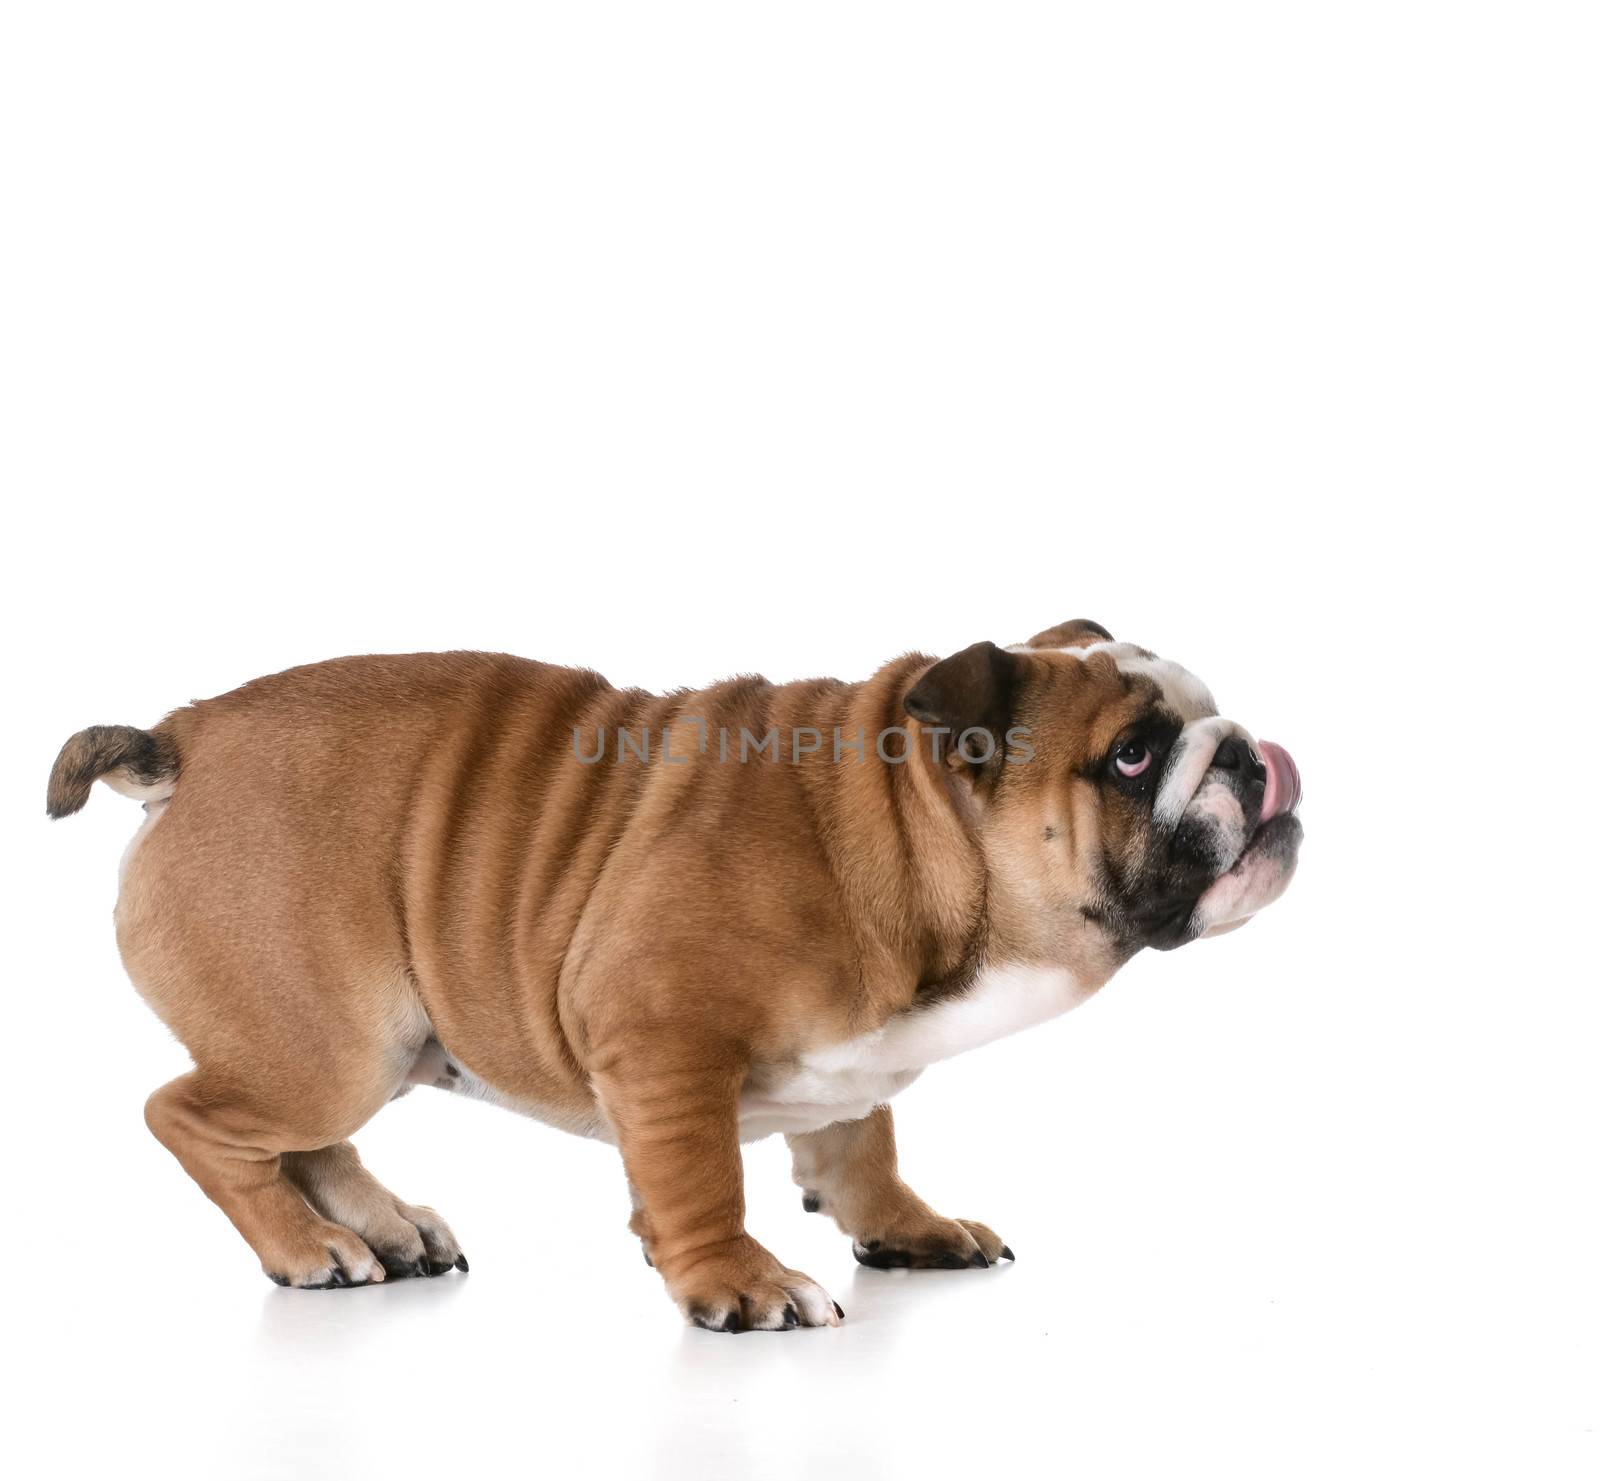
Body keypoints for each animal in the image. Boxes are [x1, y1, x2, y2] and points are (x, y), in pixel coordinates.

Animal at [50, 620, 1299, 1337]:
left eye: (1207, 711)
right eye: (1131, 755)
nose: (1252, 751)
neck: (900, 835)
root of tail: (184, 740)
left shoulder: (851, 1066)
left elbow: (861, 1146)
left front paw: (908, 1225)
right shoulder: (666, 1041)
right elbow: (705, 1175)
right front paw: (737, 1280)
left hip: (367, 1042)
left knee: (296, 1137)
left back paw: (383, 1228)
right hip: (326, 1039)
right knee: (195, 1116)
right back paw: (305, 1247)